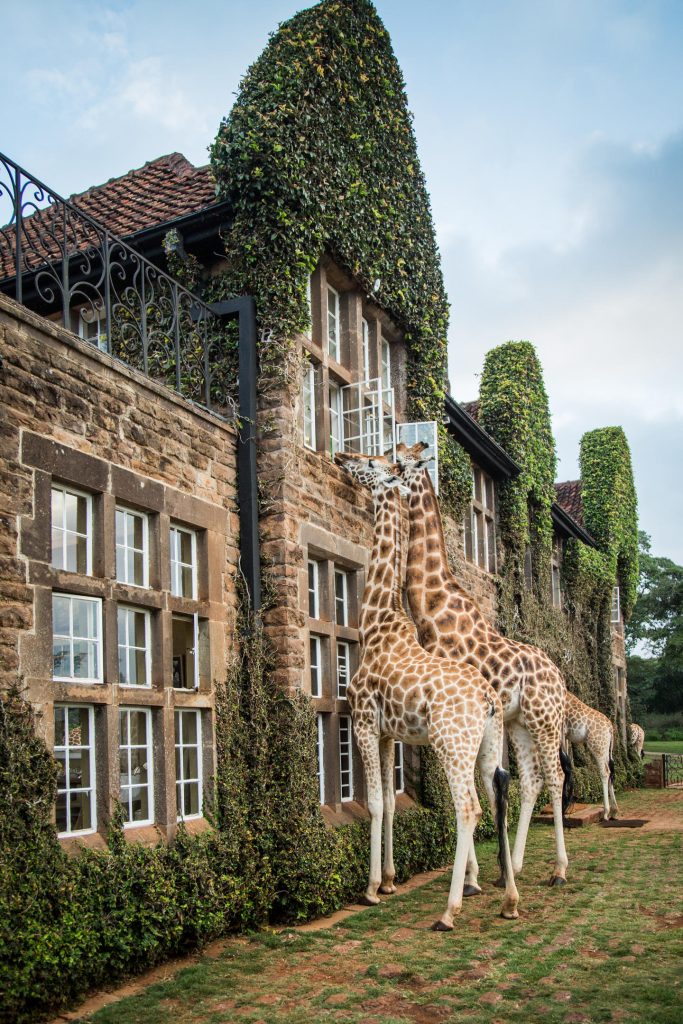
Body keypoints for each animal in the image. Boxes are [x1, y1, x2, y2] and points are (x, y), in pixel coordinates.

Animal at [334, 451, 519, 929]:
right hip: (487, 745)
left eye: (371, 463)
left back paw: (449, 911)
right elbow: (390, 802)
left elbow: (375, 803)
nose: (341, 456)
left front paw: (370, 890)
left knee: (468, 808)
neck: (376, 622)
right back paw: (509, 899)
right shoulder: (387, 733)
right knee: (495, 797)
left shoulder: (363, 722)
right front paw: (389, 880)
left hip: (450, 744)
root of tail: (489, 700)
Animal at [396, 442, 572, 886]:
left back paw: (559, 869)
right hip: (520, 722)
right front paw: (479, 873)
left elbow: (464, 790)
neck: (433, 609)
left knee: (556, 776)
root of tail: (561, 679)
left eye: (397, 460)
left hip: (544, 721)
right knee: (532, 780)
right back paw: (516, 866)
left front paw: (469, 877)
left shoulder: (453, 714)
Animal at [565, 690, 619, 820]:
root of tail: (610, 728)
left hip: (597, 747)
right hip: (605, 748)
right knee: (610, 771)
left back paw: (606, 812)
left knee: (605, 772)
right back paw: (614, 811)